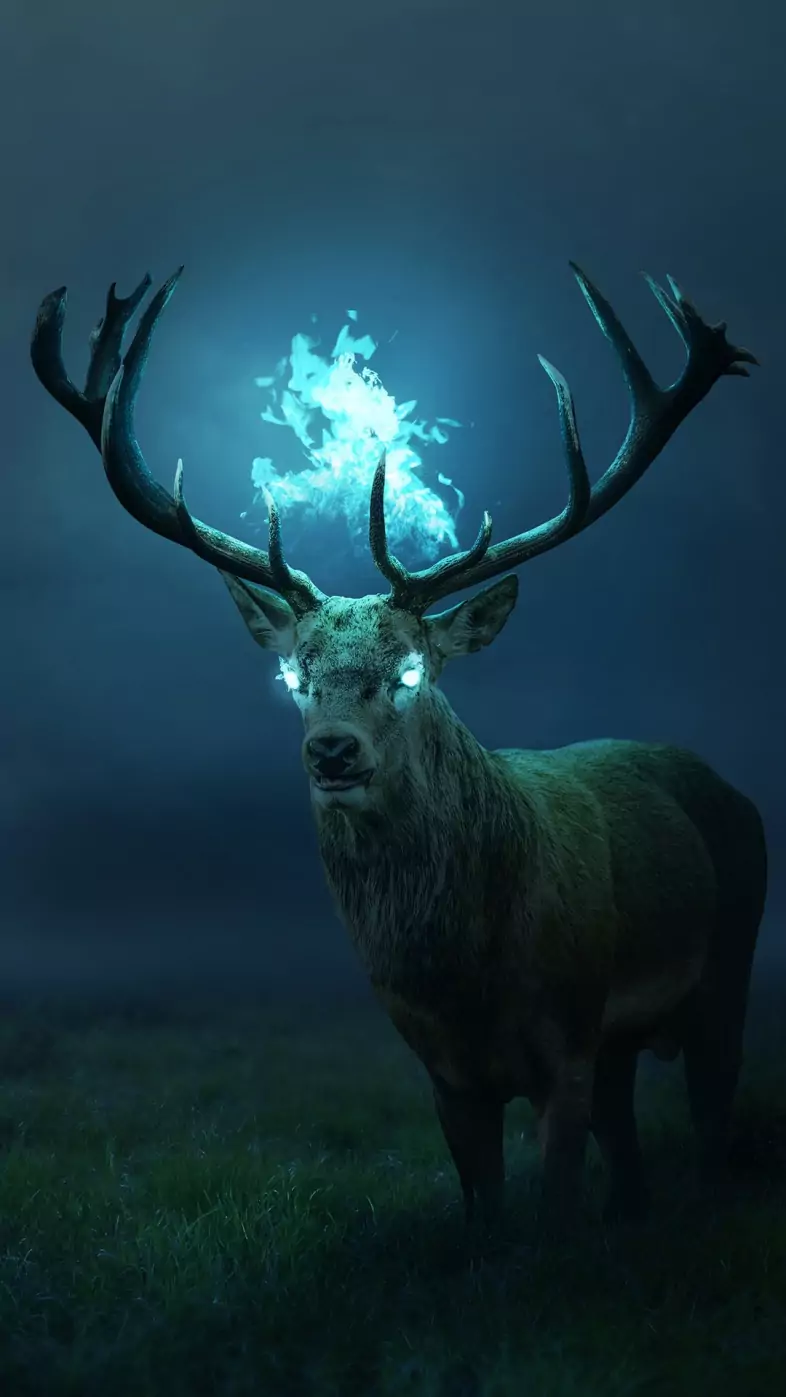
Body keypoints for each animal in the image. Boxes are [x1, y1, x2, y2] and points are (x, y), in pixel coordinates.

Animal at [31, 262, 767, 1235]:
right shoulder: (443, 1072)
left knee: (715, 1118)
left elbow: (556, 1204)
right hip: (632, 1036)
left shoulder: (570, 1036)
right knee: (633, 1144)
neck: (467, 978)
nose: (333, 753)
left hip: (731, 965)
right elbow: (486, 1207)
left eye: (411, 669)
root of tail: (730, 786)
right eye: (294, 675)